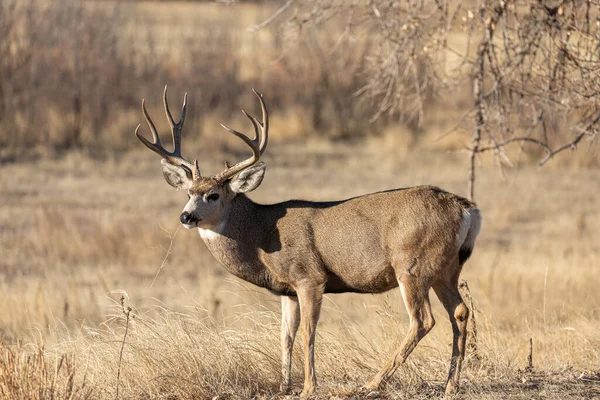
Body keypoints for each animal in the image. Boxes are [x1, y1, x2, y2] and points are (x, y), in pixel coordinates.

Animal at [135, 86, 482, 396]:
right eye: (188, 193)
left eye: (213, 195)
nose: (186, 216)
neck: (262, 233)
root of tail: (467, 208)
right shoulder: (287, 289)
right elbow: (285, 335)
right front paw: (284, 386)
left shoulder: (309, 276)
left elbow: (308, 332)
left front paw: (308, 388)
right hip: (446, 269)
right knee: (460, 312)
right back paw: (451, 386)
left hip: (412, 265)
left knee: (423, 320)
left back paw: (372, 383)